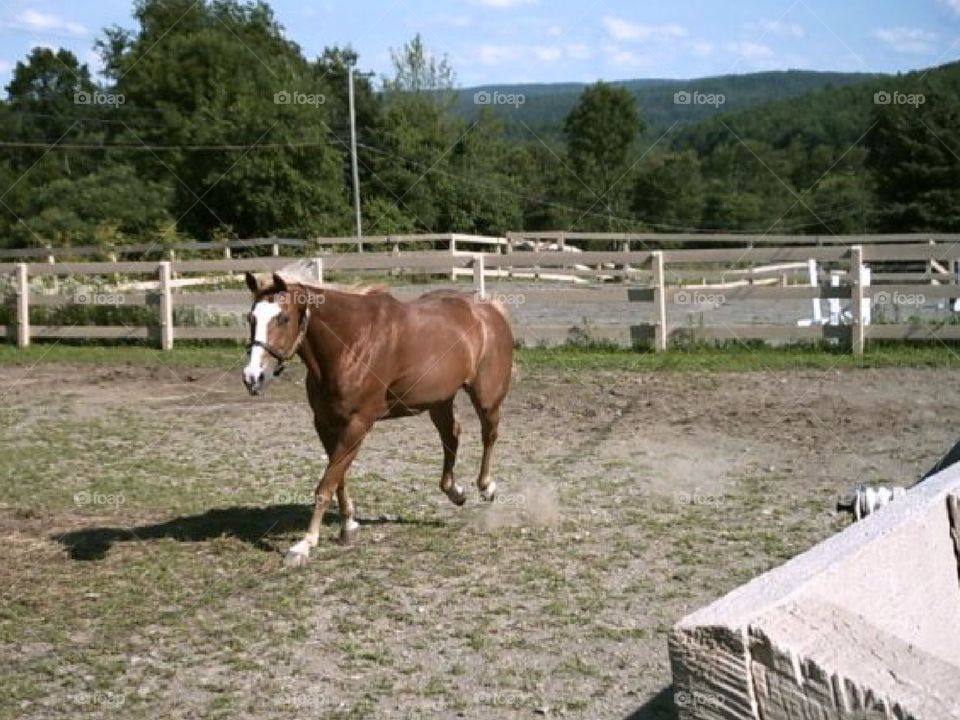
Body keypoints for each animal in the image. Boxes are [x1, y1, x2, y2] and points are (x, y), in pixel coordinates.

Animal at [244, 272, 512, 564]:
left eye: (283, 318)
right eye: (251, 318)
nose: (253, 377)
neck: (350, 344)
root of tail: (489, 309)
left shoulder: (358, 424)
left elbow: (326, 485)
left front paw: (304, 545)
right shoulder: (325, 424)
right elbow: (338, 478)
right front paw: (348, 527)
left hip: (486, 398)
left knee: (489, 435)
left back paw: (486, 487)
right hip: (439, 401)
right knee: (451, 436)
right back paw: (456, 492)